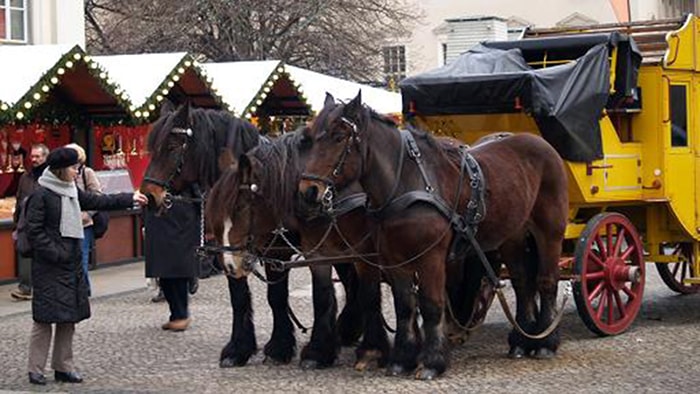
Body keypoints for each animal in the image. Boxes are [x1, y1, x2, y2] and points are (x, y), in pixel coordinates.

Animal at [205, 129, 392, 370]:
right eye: (215, 213)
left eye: (241, 207)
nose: (230, 265)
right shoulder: (286, 252)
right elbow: (261, 297)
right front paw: (245, 348)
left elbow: (334, 295)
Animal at [300, 92, 568, 378]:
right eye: (310, 137)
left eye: (339, 137)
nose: (308, 190)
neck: (405, 183)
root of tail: (540, 143)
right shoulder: (396, 259)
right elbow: (405, 306)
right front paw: (402, 359)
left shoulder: (431, 258)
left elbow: (431, 304)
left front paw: (432, 361)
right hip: (512, 236)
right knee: (522, 282)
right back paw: (522, 341)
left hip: (550, 232)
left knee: (547, 281)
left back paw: (545, 343)